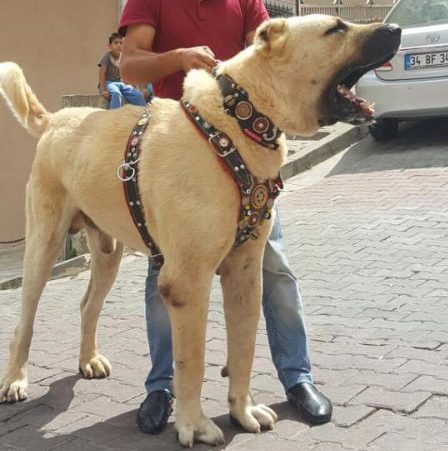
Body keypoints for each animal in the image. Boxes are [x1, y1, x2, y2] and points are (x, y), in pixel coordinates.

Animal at [0, 15, 400, 448]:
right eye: (336, 29)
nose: (395, 28)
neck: (239, 119)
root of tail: (55, 120)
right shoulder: (187, 282)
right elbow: (190, 361)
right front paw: (194, 423)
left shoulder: (245, 274)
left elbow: (243, 350)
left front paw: (243, 411)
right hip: (43, 245)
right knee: (24, 321)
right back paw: (15, 381)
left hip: (107, 252)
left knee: (88, 303)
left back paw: (88, 360)